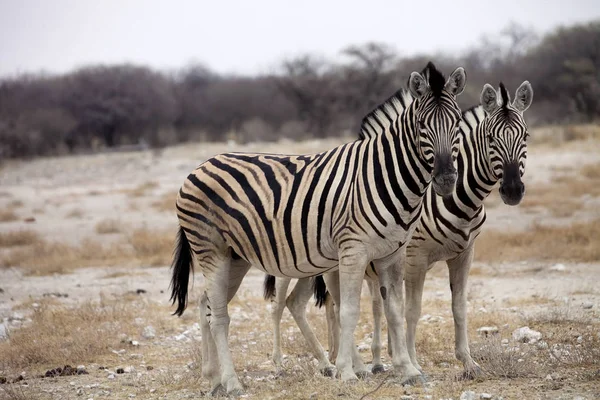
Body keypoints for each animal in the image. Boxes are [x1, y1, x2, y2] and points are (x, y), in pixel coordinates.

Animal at [171, 61, 466, 396]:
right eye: (421, 125)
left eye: (457, 122)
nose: (446, 180)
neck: (385, 175)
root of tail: (199, 166)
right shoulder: (353, 250)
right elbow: (348, 310)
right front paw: (347, 372)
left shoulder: (393, 254)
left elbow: (395, 310)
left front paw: (408, 370)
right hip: (211, 251)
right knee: (220, 316)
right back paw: (232, 383)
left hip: (235, 258)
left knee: (206, 304)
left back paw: (214, 379)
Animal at [264, 80, 532, 378]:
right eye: (490, 139)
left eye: (525, 137)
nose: (512, 190)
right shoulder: (414, 256)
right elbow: (411, 310)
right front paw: (411, 362)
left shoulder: (464, 254)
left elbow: (459, 307)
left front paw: (468, 363)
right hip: (291, 262)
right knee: (279, 306)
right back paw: (280, 363)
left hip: (317, 265)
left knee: (300, 304)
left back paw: (330, 363)